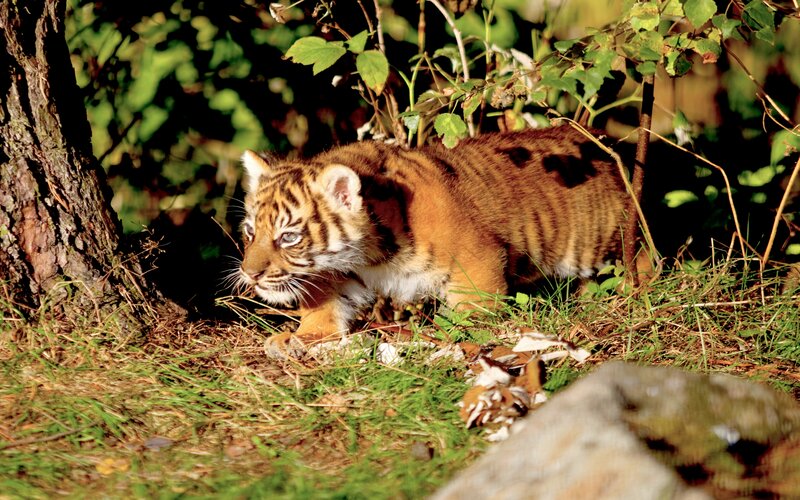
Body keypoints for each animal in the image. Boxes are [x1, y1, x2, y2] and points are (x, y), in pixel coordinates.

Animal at [238, 125, 632, 356]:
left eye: (288, 237)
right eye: (250, 232)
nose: (250, 274)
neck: (368, 254)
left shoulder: (477, 260)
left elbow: (474, 311)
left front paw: (454, 336)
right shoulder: (340, 274)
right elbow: (325, 309)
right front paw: (296, 337)